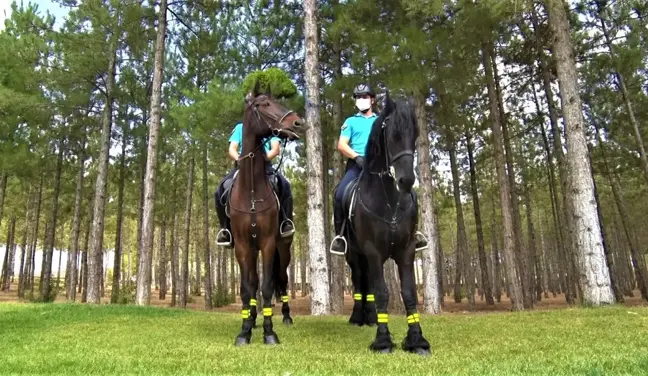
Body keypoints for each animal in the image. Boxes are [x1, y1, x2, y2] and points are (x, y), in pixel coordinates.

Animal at [230, 83, 304, 346]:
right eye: (264, 105)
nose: (298, 123)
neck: (251, 191)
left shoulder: (269, 244)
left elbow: (268, 287)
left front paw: (269, 332)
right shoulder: (243, 246)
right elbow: (247, 288)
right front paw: (245, 330)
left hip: (285, 249)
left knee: (282, 280)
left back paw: (287, 317)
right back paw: (252, 319)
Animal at [334, 92, 430, 356]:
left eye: (414, 133)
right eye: (392, 135)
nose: (406, 180)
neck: (389, 201)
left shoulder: (406, 250)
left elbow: (408, 293)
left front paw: (416, 340)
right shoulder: (373, 251)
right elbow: (381, 292)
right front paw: (383, 341)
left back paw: (370, 318)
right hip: (355, 254)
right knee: (359, 280)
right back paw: (358, 317)